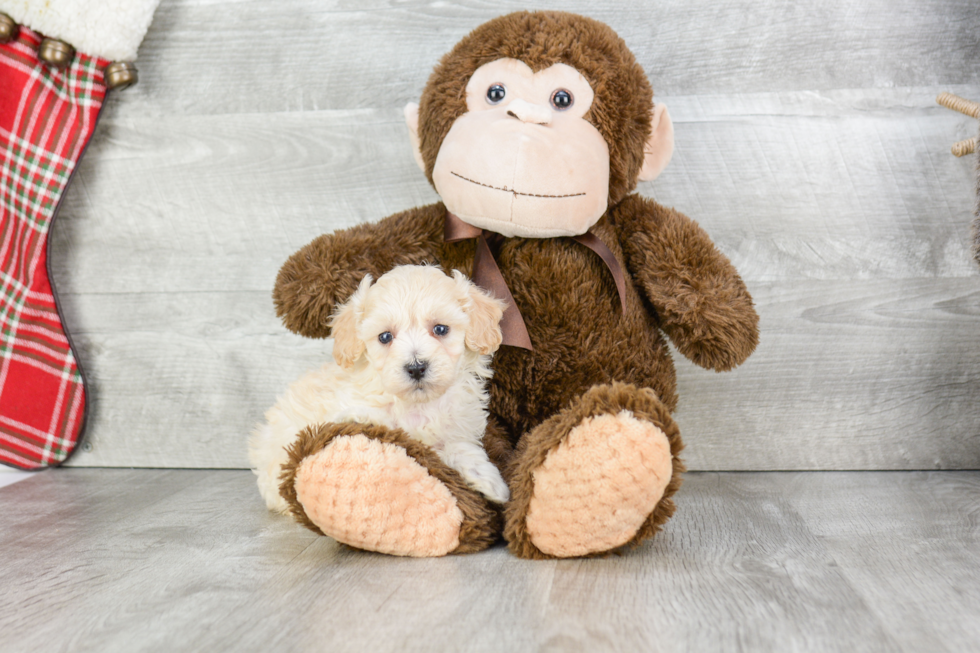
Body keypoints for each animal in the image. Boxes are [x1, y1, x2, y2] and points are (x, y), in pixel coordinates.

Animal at [249, 262, 510, 512]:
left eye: (440, 329)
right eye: (385, 337)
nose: (416, 367)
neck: (417, 405)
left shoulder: (454, 428)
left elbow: (461, 449)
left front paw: (491, 482)